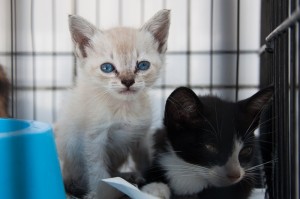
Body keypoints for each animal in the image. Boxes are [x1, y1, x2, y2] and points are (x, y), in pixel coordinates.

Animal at [55, 9, 170, 199]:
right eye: (107, 68)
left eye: (143, 65)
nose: (128, 81)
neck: (123, 108)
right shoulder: (94, 139)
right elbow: (98, 172)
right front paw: (102, 193)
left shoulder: (142, 136)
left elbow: (146, 163)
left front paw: (150, 183)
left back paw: (128, 177)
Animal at [142, 86, 274, 198]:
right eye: (210, 147)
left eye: (246, 150)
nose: (235, 175)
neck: (191, 171)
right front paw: (154, 188)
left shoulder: (248, 177)